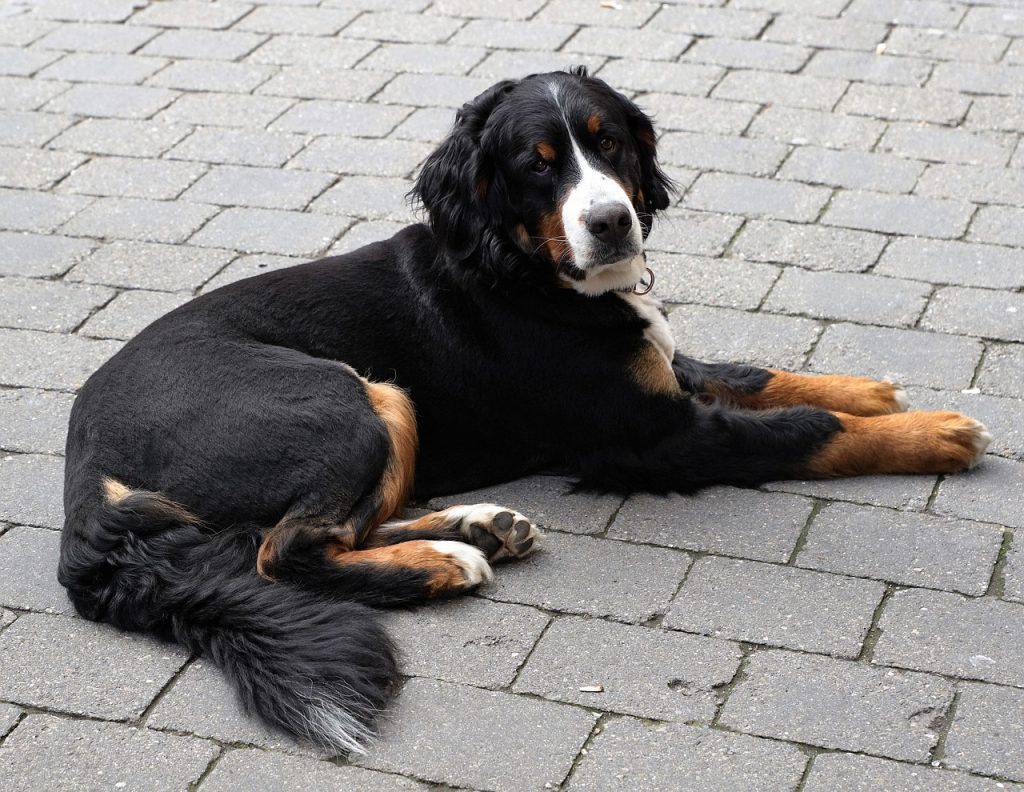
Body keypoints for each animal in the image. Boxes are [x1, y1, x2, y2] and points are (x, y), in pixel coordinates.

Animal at [58, 68, 991, 754]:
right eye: (538, 162)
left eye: (608, 141)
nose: (612, 221)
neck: (525, 267)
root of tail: (84, 463)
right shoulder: (656, 437)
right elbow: (805, 433)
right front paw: (936, 433)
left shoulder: (665, 377)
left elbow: (753, 375)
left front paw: (865, 388)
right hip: (343, 394)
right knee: (285, 551)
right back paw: (444, 565)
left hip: (380, 403)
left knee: (338, 529)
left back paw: (476, 529)